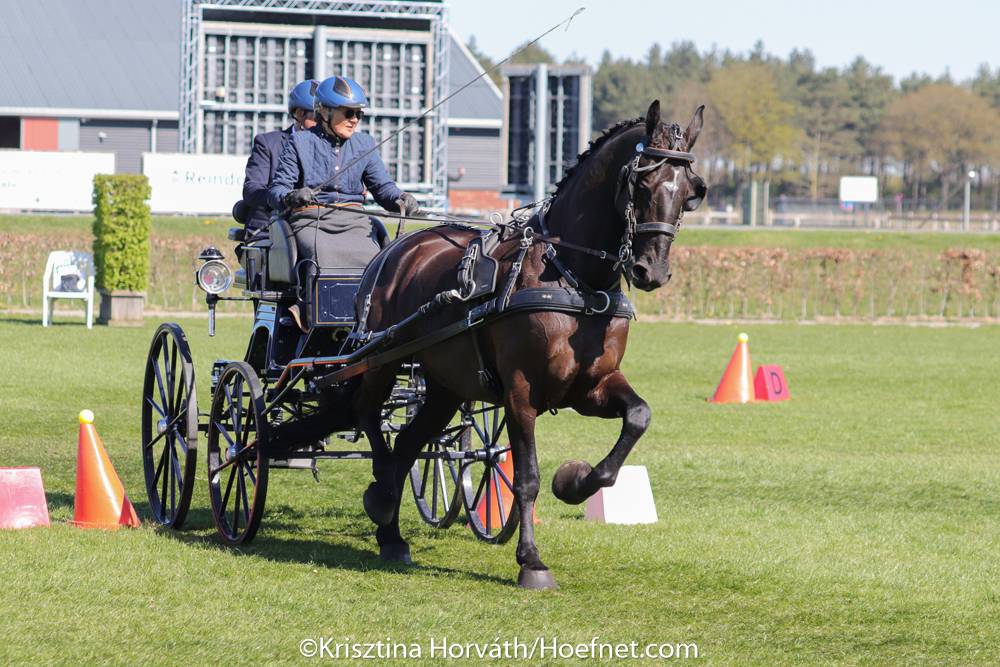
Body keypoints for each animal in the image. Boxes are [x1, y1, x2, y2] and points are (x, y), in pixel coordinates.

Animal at [352, 100, 706, 589]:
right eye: (642, 182)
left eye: (691, 191)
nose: (650, 270)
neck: (574, 278)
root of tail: (399, 247)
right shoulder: (521, 392)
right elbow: (527, 477)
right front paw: (532, 561)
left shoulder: (592, 387)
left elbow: (638, 417)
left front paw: (577, 482)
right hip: (380, 360)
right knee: (370, 418)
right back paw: (382, 497)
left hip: (445, 386)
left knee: (408, 443)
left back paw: (391, 536)